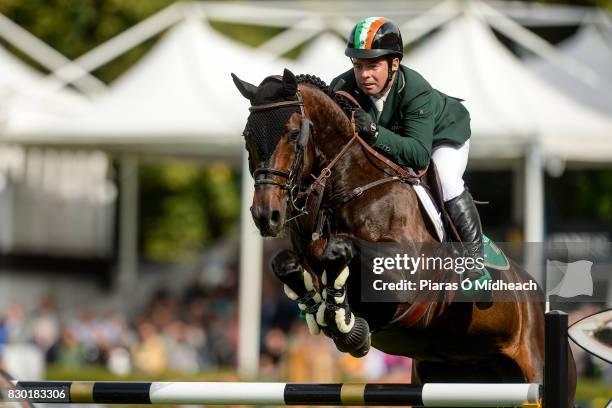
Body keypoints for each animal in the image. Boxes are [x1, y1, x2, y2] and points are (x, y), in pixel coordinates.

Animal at [231, 69, 572, 404]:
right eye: (247, 137)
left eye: (292, 134)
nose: (266, 215)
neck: (348, 187)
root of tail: (541, 300)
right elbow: (286, 262)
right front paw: (321, 310)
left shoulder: (401, 278)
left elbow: (342, 248)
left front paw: (343, 319)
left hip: (535, 367)